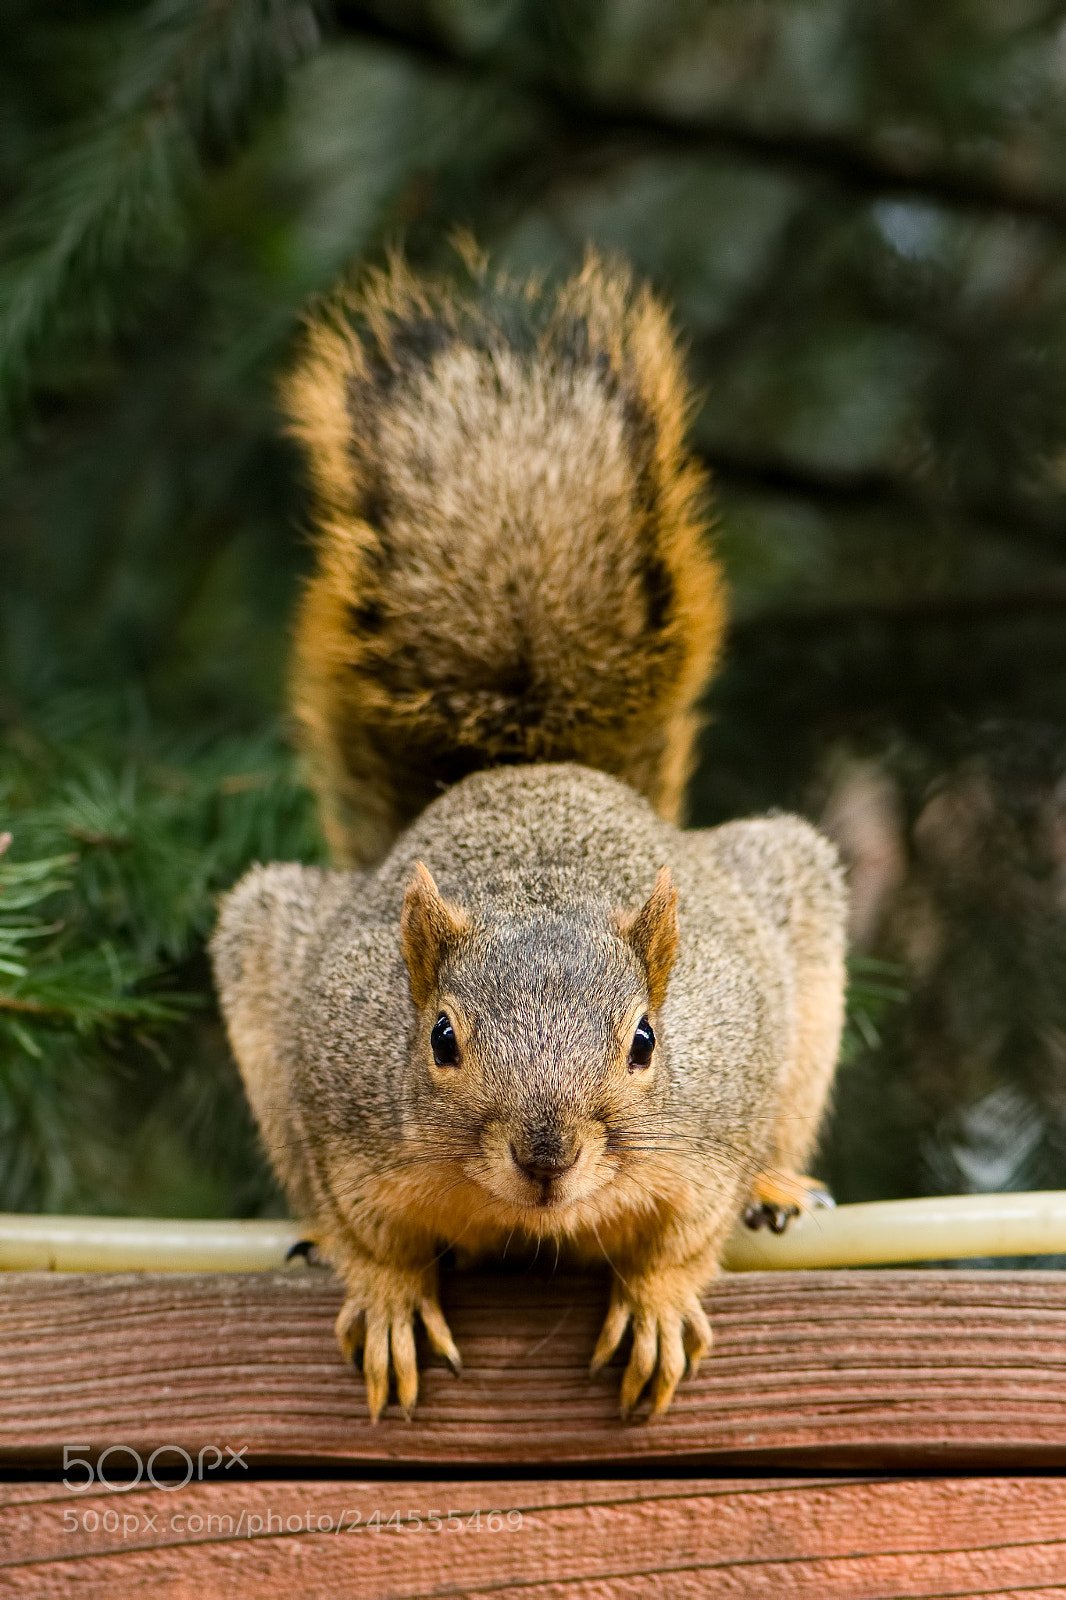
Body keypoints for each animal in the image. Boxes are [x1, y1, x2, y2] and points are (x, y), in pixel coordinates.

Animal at [211, 248, 847, 1421]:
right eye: (439, 1039)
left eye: (645, 1040)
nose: (546, 1155)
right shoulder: (342, 1116)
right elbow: (371, 1234)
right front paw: (386, 1295)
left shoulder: (709, 1128)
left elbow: (683, 1238)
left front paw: (656, 1301)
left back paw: (780, 1187)